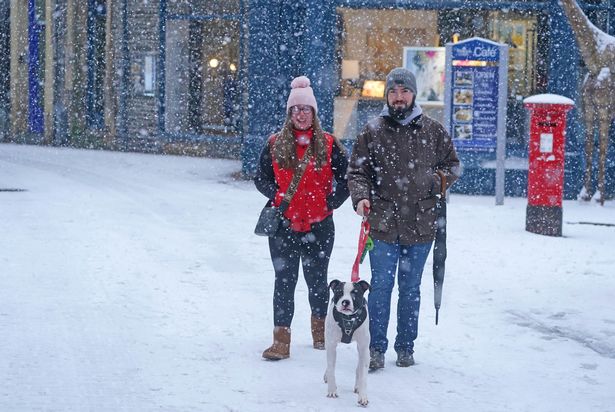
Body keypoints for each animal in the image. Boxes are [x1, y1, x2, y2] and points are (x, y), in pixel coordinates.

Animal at [328, 278, 370, 408]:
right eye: (339, 292)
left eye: (355, 293)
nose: (345, 302)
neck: (348, 319)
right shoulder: (331, 344)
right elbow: (331, 368)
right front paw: (332, 390)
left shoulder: (364, 347)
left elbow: (363, 375)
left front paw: (363, 397)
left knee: (359, 367)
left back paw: (357, 386)